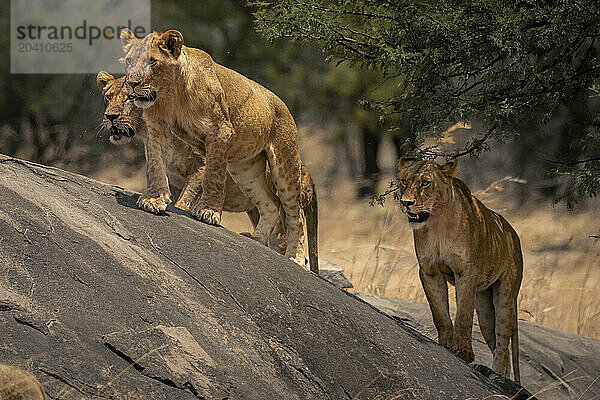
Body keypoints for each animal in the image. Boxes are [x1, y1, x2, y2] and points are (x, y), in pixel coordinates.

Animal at [96, 72, 318, 272]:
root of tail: (306, 171)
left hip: (284, 175)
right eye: (108, 96)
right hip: (252, 192)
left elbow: (187, 198)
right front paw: (154, 202)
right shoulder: (172, 178)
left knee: (293, 220)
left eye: (130, 98)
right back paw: (256, 239)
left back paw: (295, 259)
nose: (110, 117)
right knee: (270, 209)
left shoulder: (201, 164)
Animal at [119, 28, 304, 266]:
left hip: (285, 165)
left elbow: (213, 175)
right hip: (245, 169)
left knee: (294, 215)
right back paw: (256, 239)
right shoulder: (157, 128)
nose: (132, 83)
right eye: (129, 61)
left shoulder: (220, 131)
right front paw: (154, 200)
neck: (172, 94)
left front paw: (208, 211)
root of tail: (283, 105)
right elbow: (156, 166)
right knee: (270, 204)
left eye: (152, 62)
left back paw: (295, 258)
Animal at [398, 158, 520, 382]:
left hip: (505, 296)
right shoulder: (429, 271)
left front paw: (463, 353)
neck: (436, 224)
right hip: (484, 309)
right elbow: (439, 313)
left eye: (425, 183)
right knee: (498, 343)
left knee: (503, 345)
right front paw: (445, 345)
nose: (406, 202)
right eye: (404, 181)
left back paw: (497, 375)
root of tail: (512, 233)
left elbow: (463, 315)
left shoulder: (466, 271)